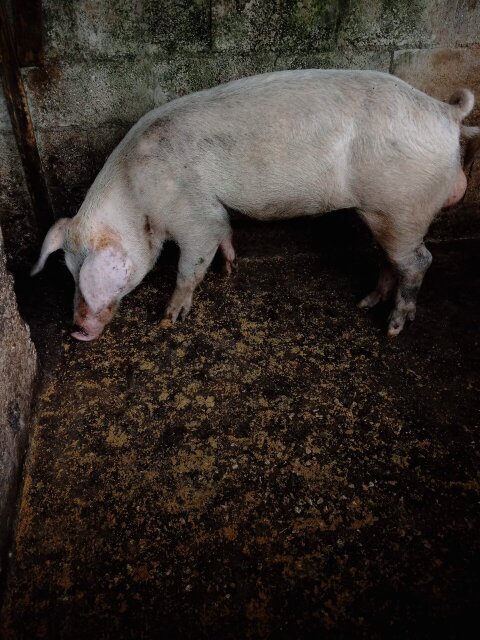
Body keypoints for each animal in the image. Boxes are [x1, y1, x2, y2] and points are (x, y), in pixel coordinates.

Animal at [31, 69, 479, 341]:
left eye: (85, 273)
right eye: (66, 270)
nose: (76, 329)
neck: (137, 196)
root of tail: (446, 111)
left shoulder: (191, 212)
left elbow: (192, 260)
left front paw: (169, 319)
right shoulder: (213, 211)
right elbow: (226, 232)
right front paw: (230, 268)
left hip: (405, 206)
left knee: (419, 261)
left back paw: (392, 327)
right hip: (383, 213)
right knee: (389, 258)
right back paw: (366, 303)